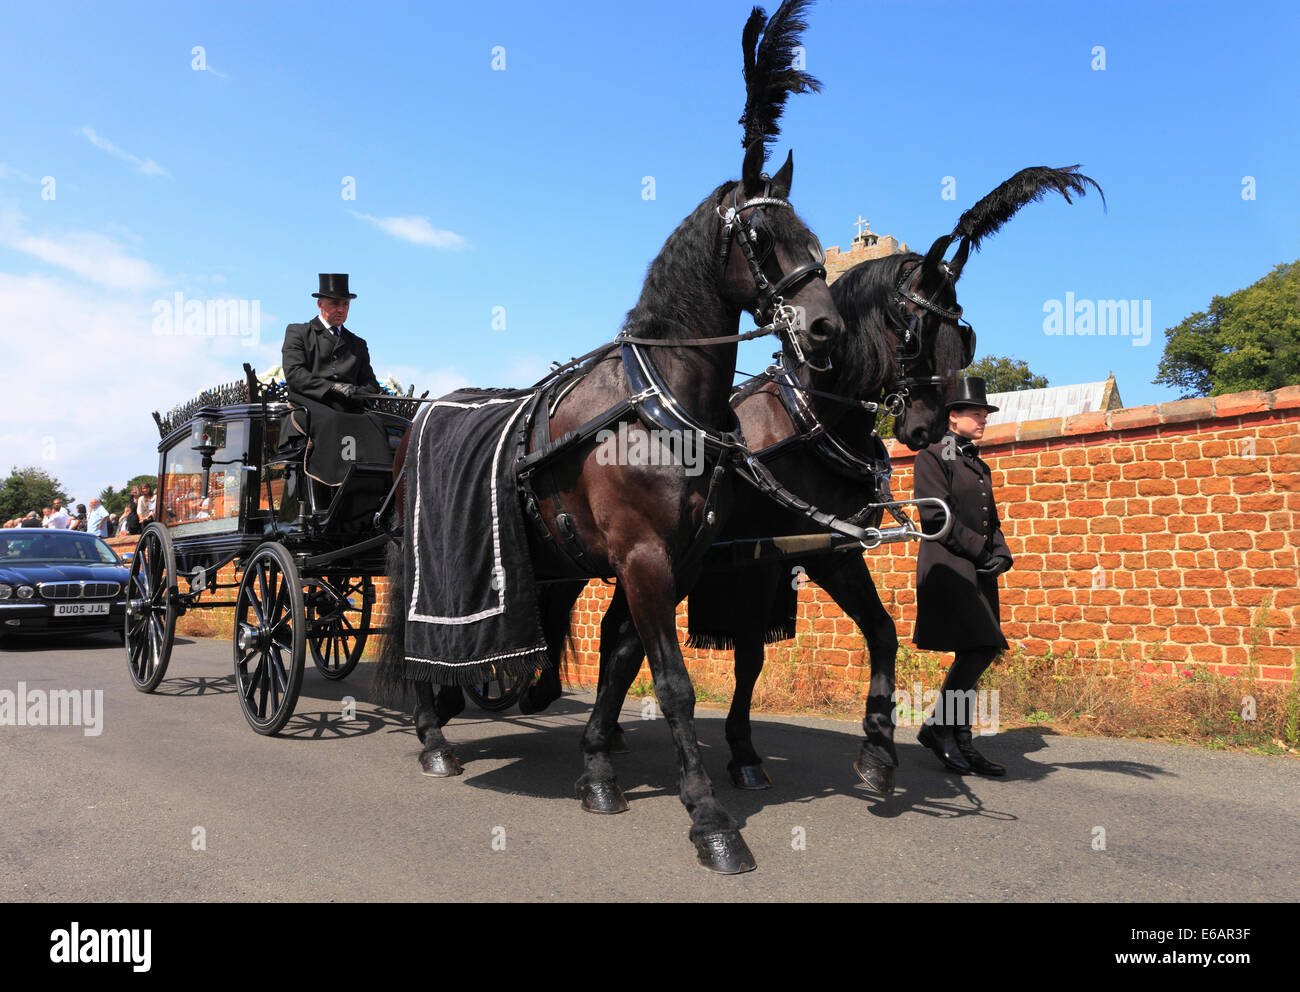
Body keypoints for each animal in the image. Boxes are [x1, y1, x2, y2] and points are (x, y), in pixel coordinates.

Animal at [377, 0, 842, 873]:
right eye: (763, 239)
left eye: (812, 235)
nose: (826, 329)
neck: (662, 413)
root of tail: (419, 416)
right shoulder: (644, 554)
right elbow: (674, 683)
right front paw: (710, 819)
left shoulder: (673, 560)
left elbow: (621, 664)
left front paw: (597, 769)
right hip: (421, 555)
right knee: (417, 636)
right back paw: (431, 733)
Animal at [592, 166, 1107, 795]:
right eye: (915, 329)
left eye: (964, 336)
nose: (930, 426)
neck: (811, 423)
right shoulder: (764, 560)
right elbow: (748, 656)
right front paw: (744, 752)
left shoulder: (829, 551)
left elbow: (878, 633)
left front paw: (877, 749)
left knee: (619, 633)